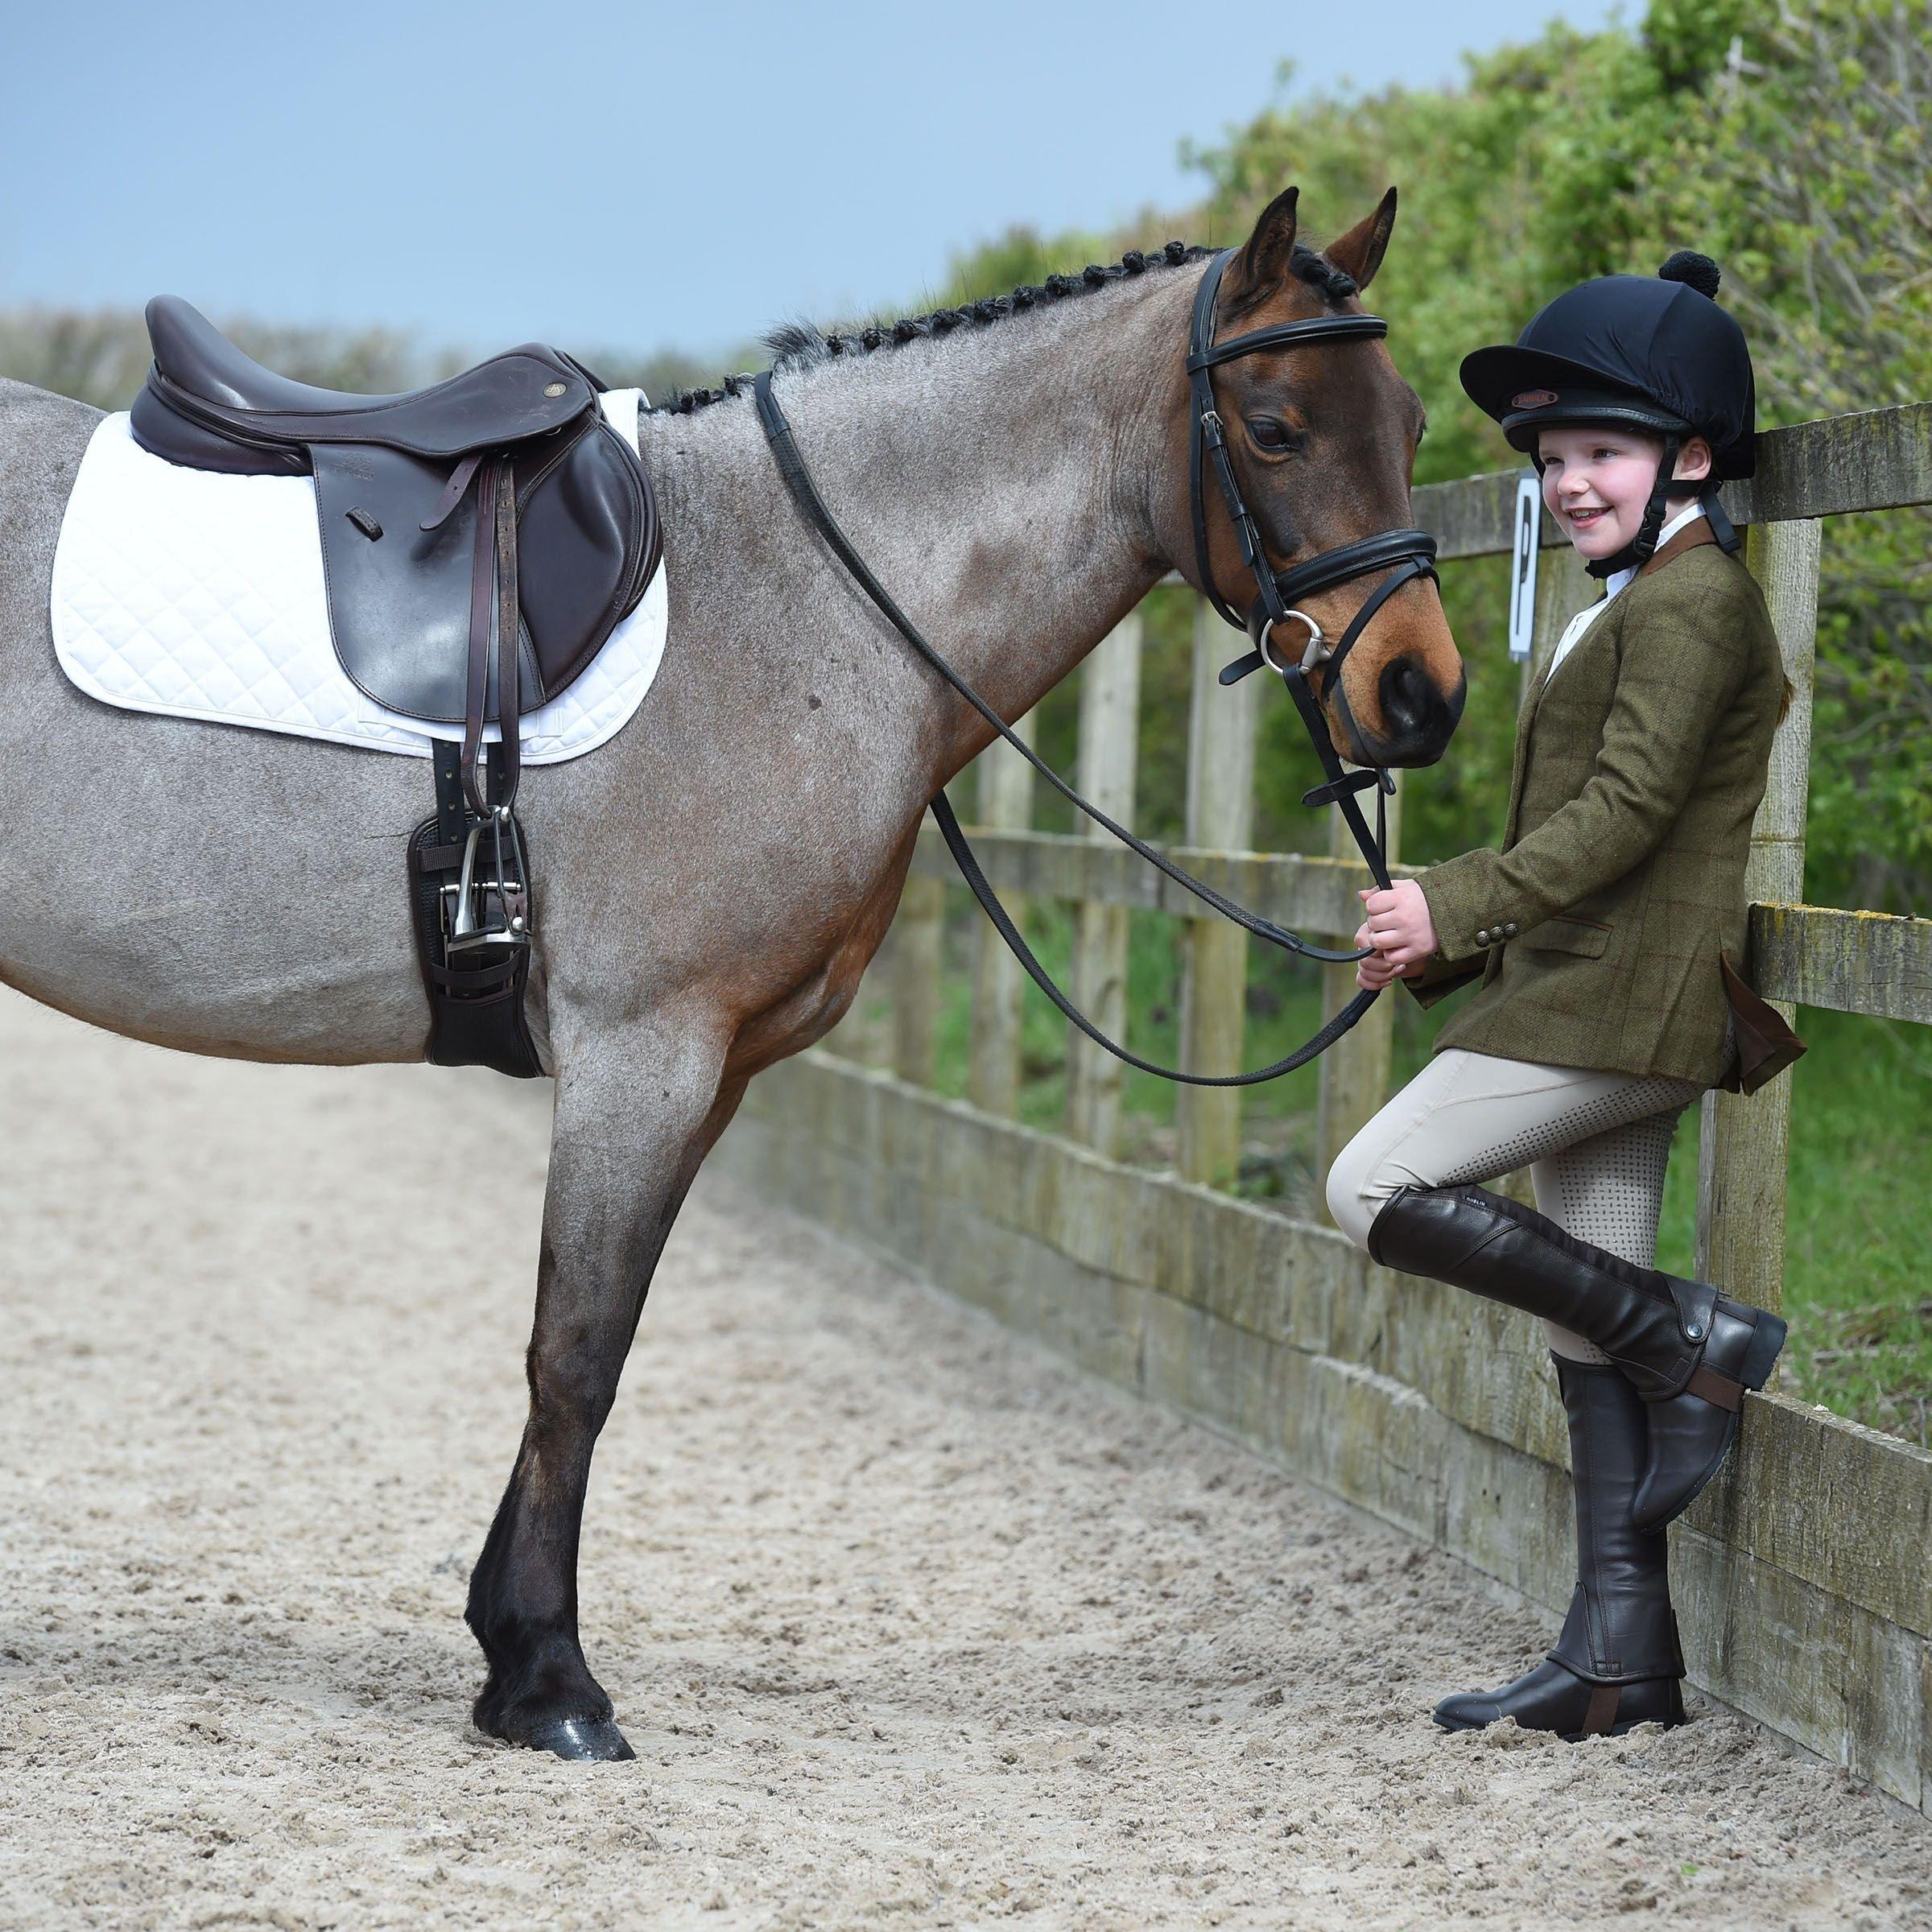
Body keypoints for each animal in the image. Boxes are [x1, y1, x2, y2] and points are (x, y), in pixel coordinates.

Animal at [0, 188, 1460, 1761]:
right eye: (1275, 427)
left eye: (1412, 417)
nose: (1422, 695)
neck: (790, 601)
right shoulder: (642, 1055)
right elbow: (574, 1352)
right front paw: (550, 1682)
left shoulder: (714, 1077)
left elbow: (603, 1341)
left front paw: (506, 1645)